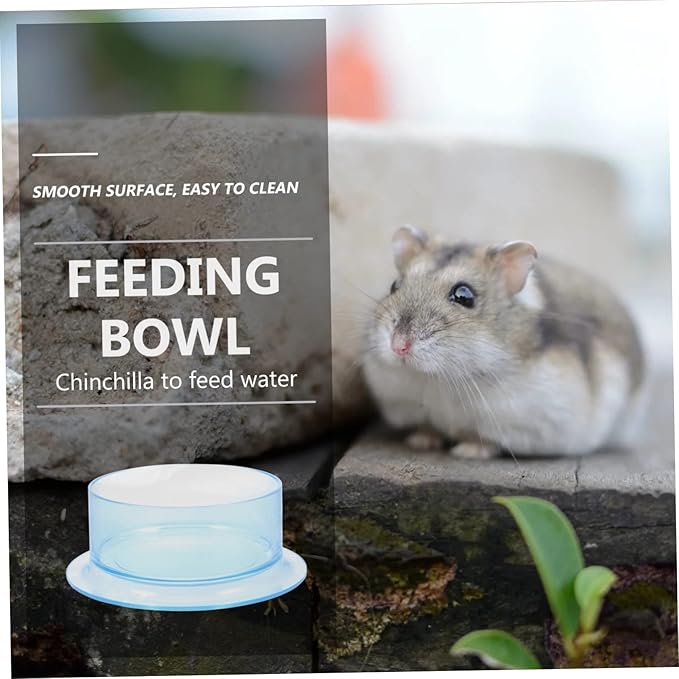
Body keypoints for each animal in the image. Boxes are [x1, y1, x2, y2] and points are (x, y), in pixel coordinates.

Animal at [361, 225, 646, 458]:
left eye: (464, 295)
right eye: (394, 286)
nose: (398, 346)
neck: (440, 379)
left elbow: (489, 439)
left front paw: (467, 451)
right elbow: (428, 426)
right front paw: (420, 441)